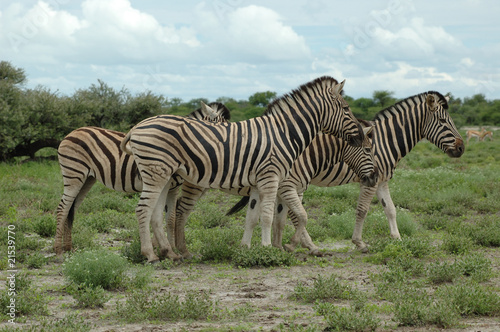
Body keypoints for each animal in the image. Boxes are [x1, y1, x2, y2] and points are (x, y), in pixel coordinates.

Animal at [53, 102, 230, 258]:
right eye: (222, 129)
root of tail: (72, 132)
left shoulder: (171, 187)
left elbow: (168, 217)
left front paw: (166, 248)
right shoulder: (171, 186)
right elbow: (168, 217)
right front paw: (166, 248)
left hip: (87, 179)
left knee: (71, 208)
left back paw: (68, 247)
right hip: (74, 174)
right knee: (62, 207)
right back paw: (58, 251)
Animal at [173, 120, 378, 258]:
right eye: (368, 150)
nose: (376, 177)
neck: (306, 155)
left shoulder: (282, 191)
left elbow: (280, 220)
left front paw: (278, 246)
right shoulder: (289, 187)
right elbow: (299, 216)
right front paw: (298, 246)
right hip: (195, 185)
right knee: (180, 212)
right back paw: (181, 250)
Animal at [231, 91, 464, 252]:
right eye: (444, 121)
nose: (462, 148)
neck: (386, 140)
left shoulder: (381, 180)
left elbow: (391, 209)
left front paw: (397, 239)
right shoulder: (370, 180)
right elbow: (362, 210)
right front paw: (359, 242)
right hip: (295, 179)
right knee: (294, 213)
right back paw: (309, 245)